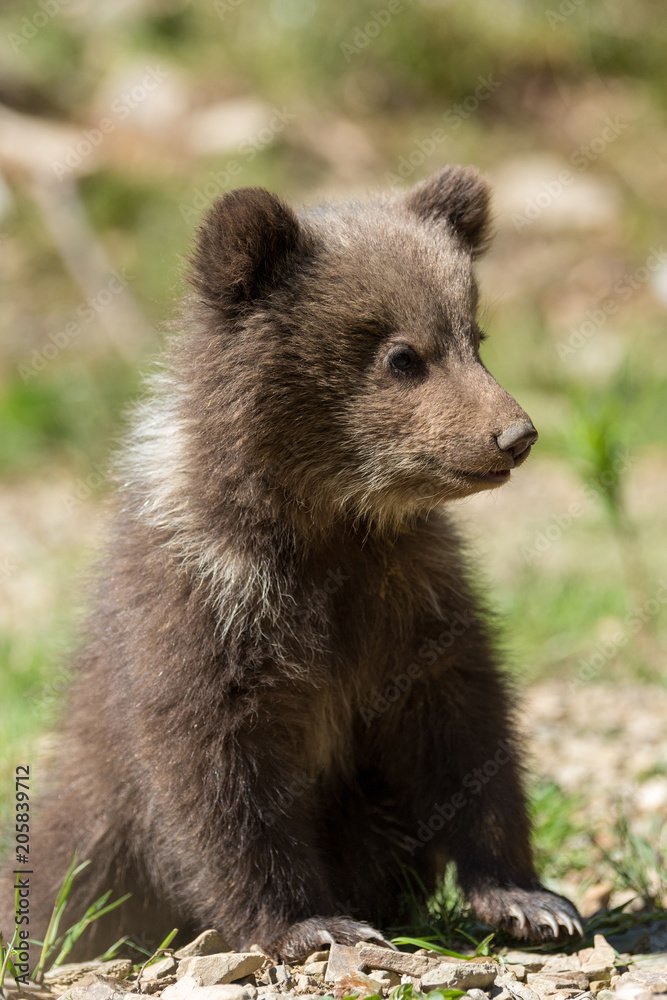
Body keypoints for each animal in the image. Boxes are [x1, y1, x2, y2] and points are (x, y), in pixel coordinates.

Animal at [1, 166, 583, 968]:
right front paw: (310, 922)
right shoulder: (207, 602)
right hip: (88, 834)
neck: (331, 524)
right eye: (403, 355)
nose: (514, 435)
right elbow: (219, 771)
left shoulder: (410, 597)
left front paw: (531, 900)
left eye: (475, 336)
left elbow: (461, 728)